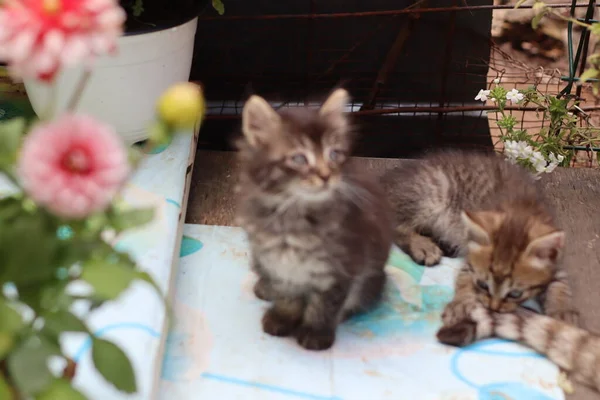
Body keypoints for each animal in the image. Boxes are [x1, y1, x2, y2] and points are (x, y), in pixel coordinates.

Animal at [234, 88, 394, 350]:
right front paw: (282, 318)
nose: (326, 175)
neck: (292, 217)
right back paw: (265, 287)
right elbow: (287, 296)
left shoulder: (340, 268)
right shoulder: (277, 262)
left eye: (334, 154)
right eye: (299, 159)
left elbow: (324, 305)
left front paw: (315, 333)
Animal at [382, 152, 580, 324]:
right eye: (483, 284)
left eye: (516, 294)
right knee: (396, 226)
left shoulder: (555, 259)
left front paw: (563, 312)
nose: (493, 308)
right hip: (432, 194)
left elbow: (561, 283)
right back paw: (423, 246)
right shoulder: (471, 257)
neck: (519, 214)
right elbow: (465, 279)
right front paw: (461, 303)